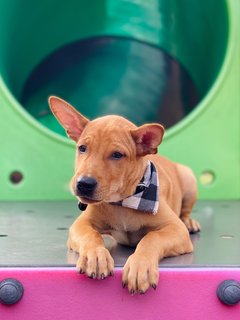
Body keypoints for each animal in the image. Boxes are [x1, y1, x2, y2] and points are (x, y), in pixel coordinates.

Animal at [48, 96, 201, 294]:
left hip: (188, 178)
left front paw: (141, 266)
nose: (84, 184)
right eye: (82, 148)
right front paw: (95, 255)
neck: (124, 202)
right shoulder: (80, 225)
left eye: (117, 155)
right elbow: (91, 235)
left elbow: (152, 238)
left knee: (185, 211)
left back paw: (190, 222)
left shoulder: (176, 230)